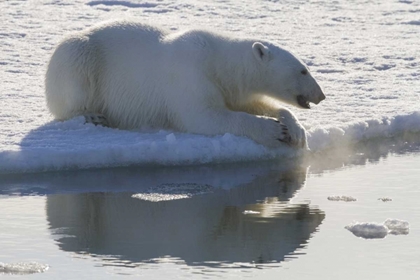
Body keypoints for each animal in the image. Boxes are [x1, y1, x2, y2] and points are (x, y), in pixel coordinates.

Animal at [44, 20, 324, 149]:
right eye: (303, 70)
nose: (321, 95)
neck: (218, 60)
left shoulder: (231, 87)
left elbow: (251, 103)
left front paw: (296, 130)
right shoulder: (190, 75)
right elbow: (205, 116)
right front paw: (274, 130)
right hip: (80, 58)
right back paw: (92, 115)